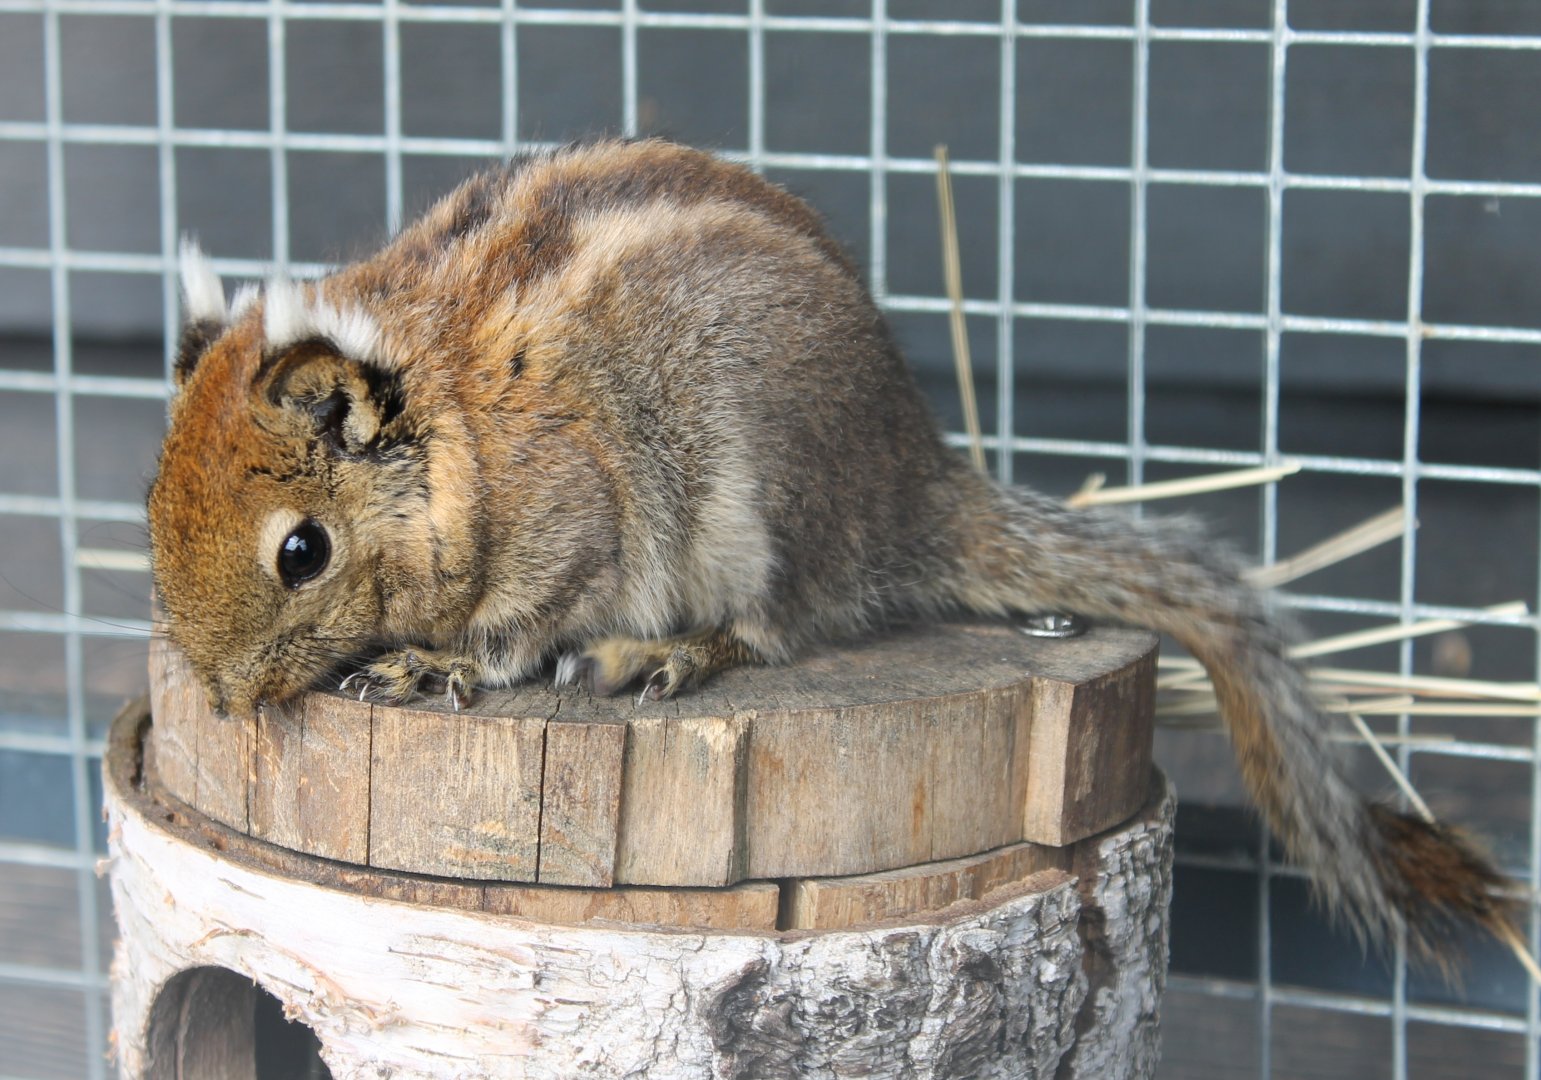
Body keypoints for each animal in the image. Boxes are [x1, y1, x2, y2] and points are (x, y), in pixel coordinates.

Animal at [149, 137, 1511, 962]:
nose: (218, 697)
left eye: (303, 551)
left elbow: (514, 632)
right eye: (154, 500)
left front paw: (440, 667)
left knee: (766, 627)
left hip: (755, 506)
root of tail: (911, 493)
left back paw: (664, 652)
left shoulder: (566, 533)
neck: (456, 430)